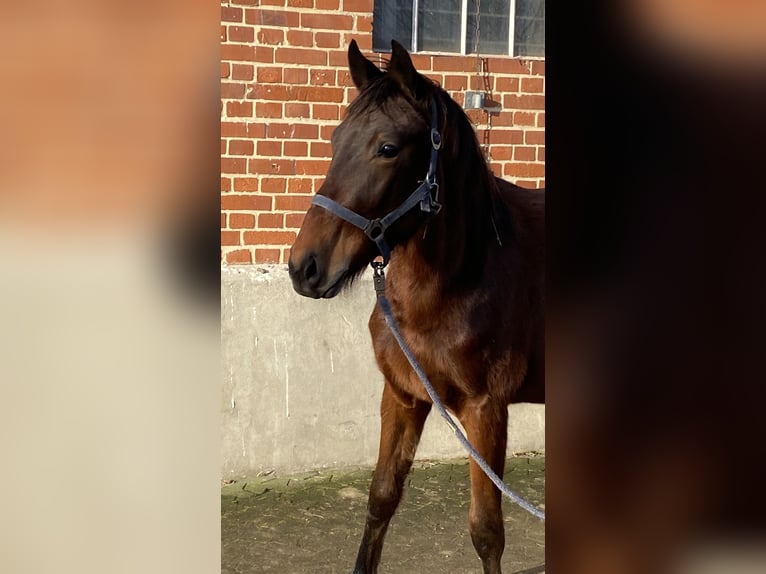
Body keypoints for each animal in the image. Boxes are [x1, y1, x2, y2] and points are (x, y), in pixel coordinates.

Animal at [288, 39, 544, 574]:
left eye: (387, 148)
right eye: (334, 139)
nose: (305, 267)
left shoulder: (486, 411)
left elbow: (487, 532)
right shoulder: (403, 396)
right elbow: (381, 499)